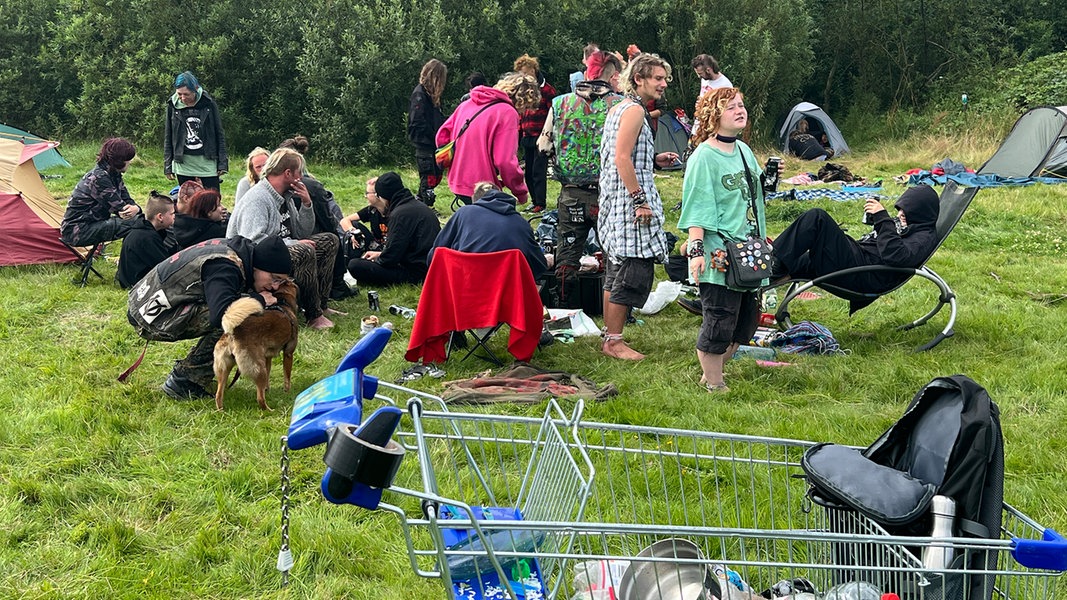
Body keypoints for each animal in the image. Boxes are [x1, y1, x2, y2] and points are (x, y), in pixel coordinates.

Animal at [211, 277, 298, 407]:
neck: (283, 302)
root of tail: (233, 332)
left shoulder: (267, 358)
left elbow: (268, 377)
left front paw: (268, 390)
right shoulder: (288, 353)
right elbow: (287, 376)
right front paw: (287, 392)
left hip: (224, 369)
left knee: (218, 395)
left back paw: (221, 410)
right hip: (258, 368)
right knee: (260, 398)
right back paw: (269, 409)